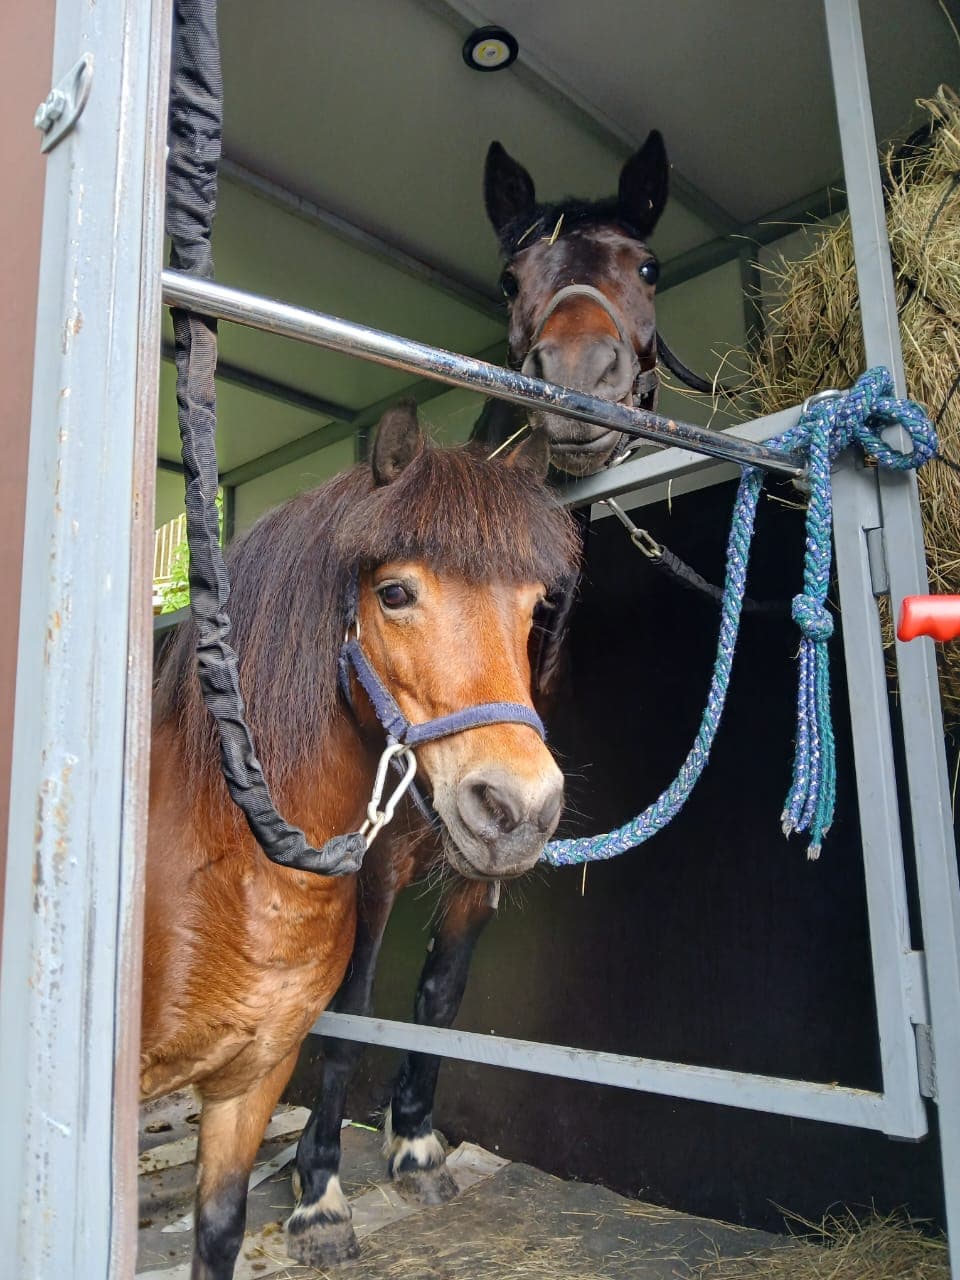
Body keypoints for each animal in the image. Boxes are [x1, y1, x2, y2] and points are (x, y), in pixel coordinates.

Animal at [141, 406, 580, 1280]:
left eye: (534, 607)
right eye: (395, 592)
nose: (520, 804)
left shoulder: (474, 875)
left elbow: (439, 996)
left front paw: (415, 1145)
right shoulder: (368, 871)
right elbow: (353, 1013)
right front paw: (319, 1193)